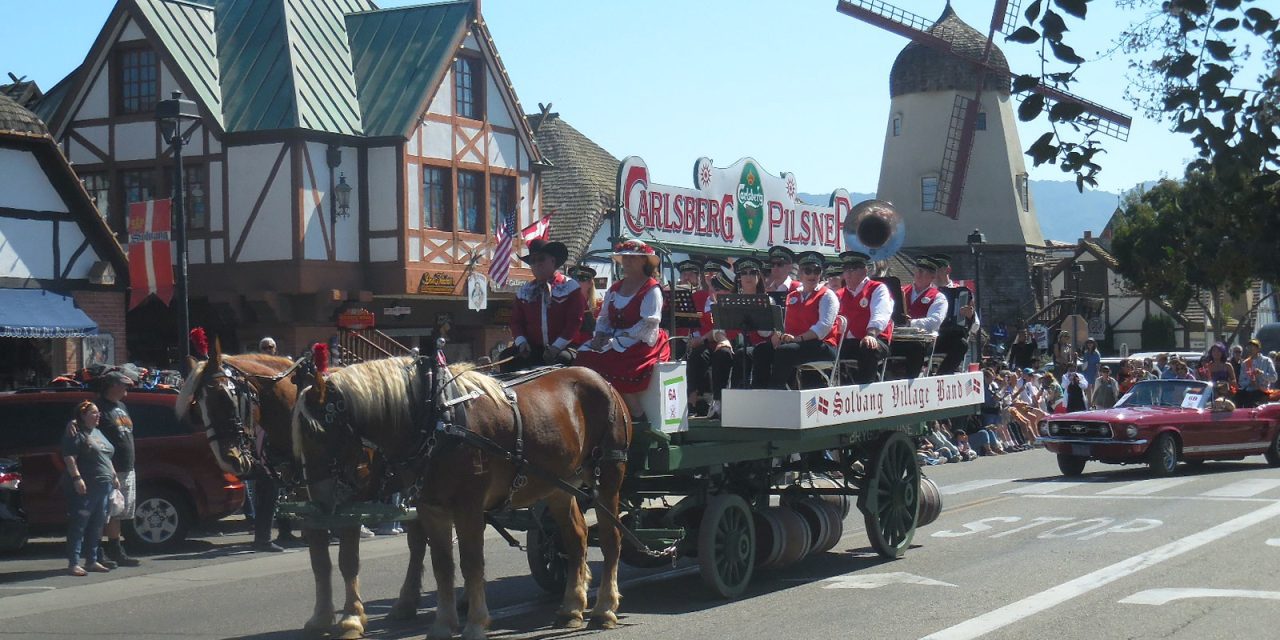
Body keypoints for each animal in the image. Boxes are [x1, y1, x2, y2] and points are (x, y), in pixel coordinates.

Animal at [175, 350, 430, 640]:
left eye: (227, 397)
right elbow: (319, 561)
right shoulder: (311, 504)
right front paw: (321, 617)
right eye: (198, 407)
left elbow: (348, 561)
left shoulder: (350, 503)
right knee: (418, 541)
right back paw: (407, 602)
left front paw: (351, 618)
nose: (229, 459)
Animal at [291, 360, 629, 640]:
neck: (437, 422)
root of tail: (603, 379)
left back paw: (604, 608)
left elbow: (471, 562)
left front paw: (476, 623)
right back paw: (572, 606)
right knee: (576, 539)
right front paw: (443, 624)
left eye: (318, 433)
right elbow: (442, 564)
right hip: (559, 485)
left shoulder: (469, 507)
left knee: (611, 538)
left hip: (608, 475)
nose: (318, 503)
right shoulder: (431, 508)